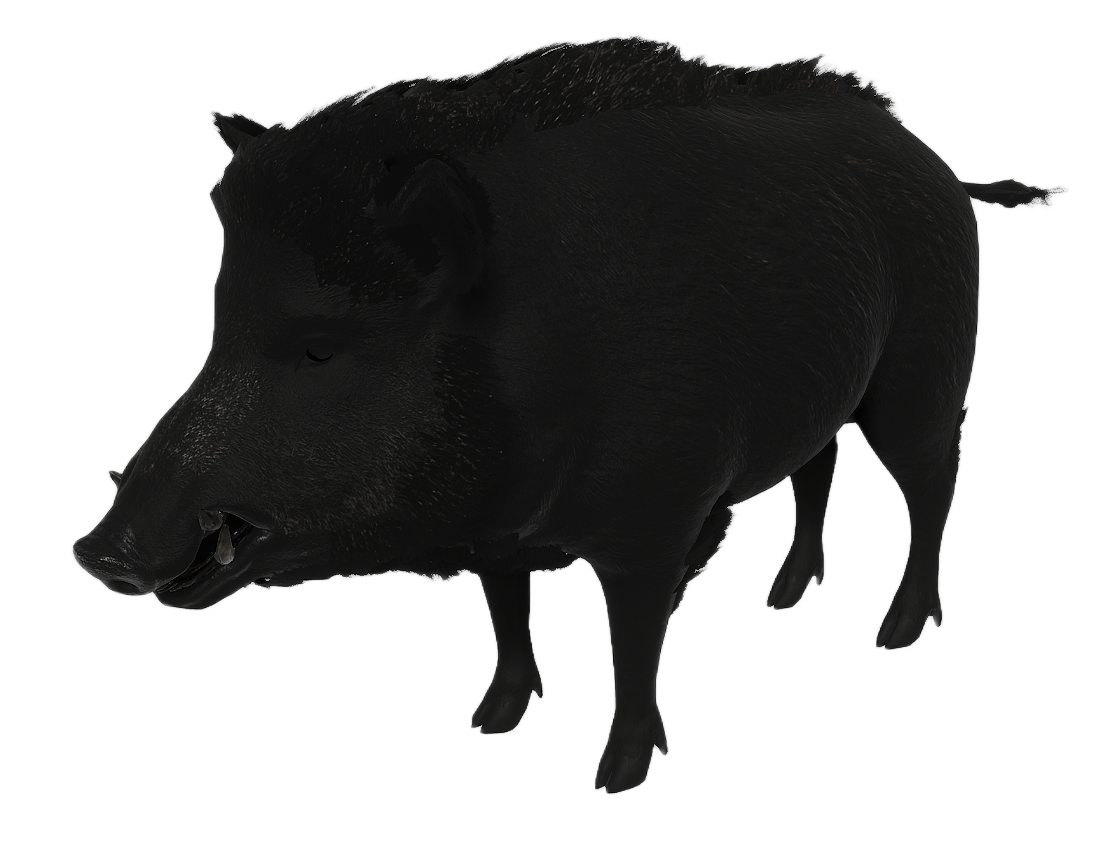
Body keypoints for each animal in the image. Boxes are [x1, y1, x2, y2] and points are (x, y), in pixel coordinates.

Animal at [70, 35, 1069, 794]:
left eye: (318, 346)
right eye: (217, 325)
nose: (96, 549)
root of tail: (942, 167)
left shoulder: (660, 517)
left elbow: (632, 638)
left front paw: (616, 776)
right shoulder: (499, 536)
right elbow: (507, 613)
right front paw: (489, 724)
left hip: (926, 377)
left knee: (932, 487)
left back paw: (896, 634)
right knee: (817, 467)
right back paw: (783, 598)